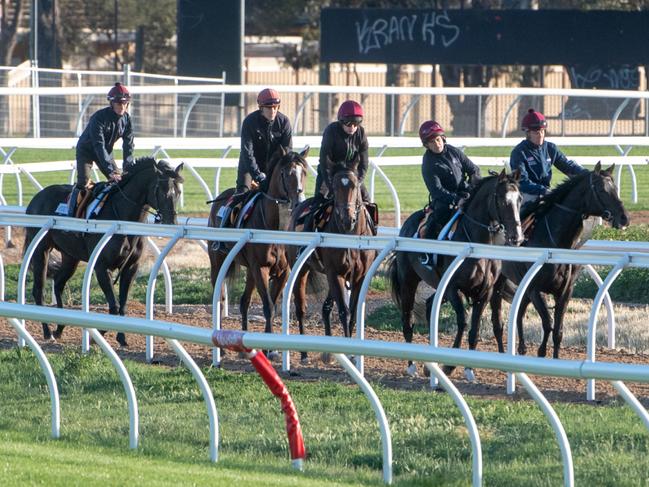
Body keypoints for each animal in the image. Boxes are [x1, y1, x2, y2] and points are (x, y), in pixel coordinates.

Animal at [24, 157, 184, 346]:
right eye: (162, 190)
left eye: (178, 192)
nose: (171, 222)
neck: (122, 220)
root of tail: (36, 199)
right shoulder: (101, 266)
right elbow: (114, 306)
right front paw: (98, 336)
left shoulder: (131, 267)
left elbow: (122, 304)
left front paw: (122, 338)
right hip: (41, 251)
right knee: (38, 290)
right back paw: (48, 331)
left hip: (70, 257)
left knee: (58, 283)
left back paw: (59, 327)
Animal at [208, 147, 308, 342]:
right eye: (286, 173)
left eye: (304, 173)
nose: (299, 201)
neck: (275, 227)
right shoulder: (260, 267)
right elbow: (268, 307)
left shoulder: (282, 271)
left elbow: (273, 306)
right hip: (218, 262)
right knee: (219, 298)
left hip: (250, 271)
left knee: (244, 301)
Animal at [288, 156, 378, 362]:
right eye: (335, 187)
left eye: (355, 185)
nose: (347, 219)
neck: (351, 236)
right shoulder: (335, 272)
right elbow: (344, 311)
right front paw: (349, 351)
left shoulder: (358, 275)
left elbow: (353, 310)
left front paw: (352, 354)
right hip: (301, 269)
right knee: (300, 307)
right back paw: (304, 354)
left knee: (326, 307)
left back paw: (328, 353)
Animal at [388, 171, 524, 378]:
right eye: (501, 200)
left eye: (520, 199)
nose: (516, 236)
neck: (476, 246)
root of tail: (405, 226)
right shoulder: (453, 288)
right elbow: (463, 322)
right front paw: (449, 366)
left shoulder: (485, 292)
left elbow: (474, 329)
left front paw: (469, 369)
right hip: (408, 283)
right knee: (407, 320)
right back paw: (412, 366)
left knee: (430, 305)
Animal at [492, 162, 628, 360]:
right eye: (602, 190)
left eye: (616, 188)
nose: (624, 218)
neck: (555, 244)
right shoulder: (535, 289)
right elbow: (548, 324)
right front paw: (541, 352)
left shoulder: (565, 291)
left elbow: (558, 331)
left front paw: (554, 357)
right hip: (499, 282)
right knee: (498, 323)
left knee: (519, 311)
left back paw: (522, 348)